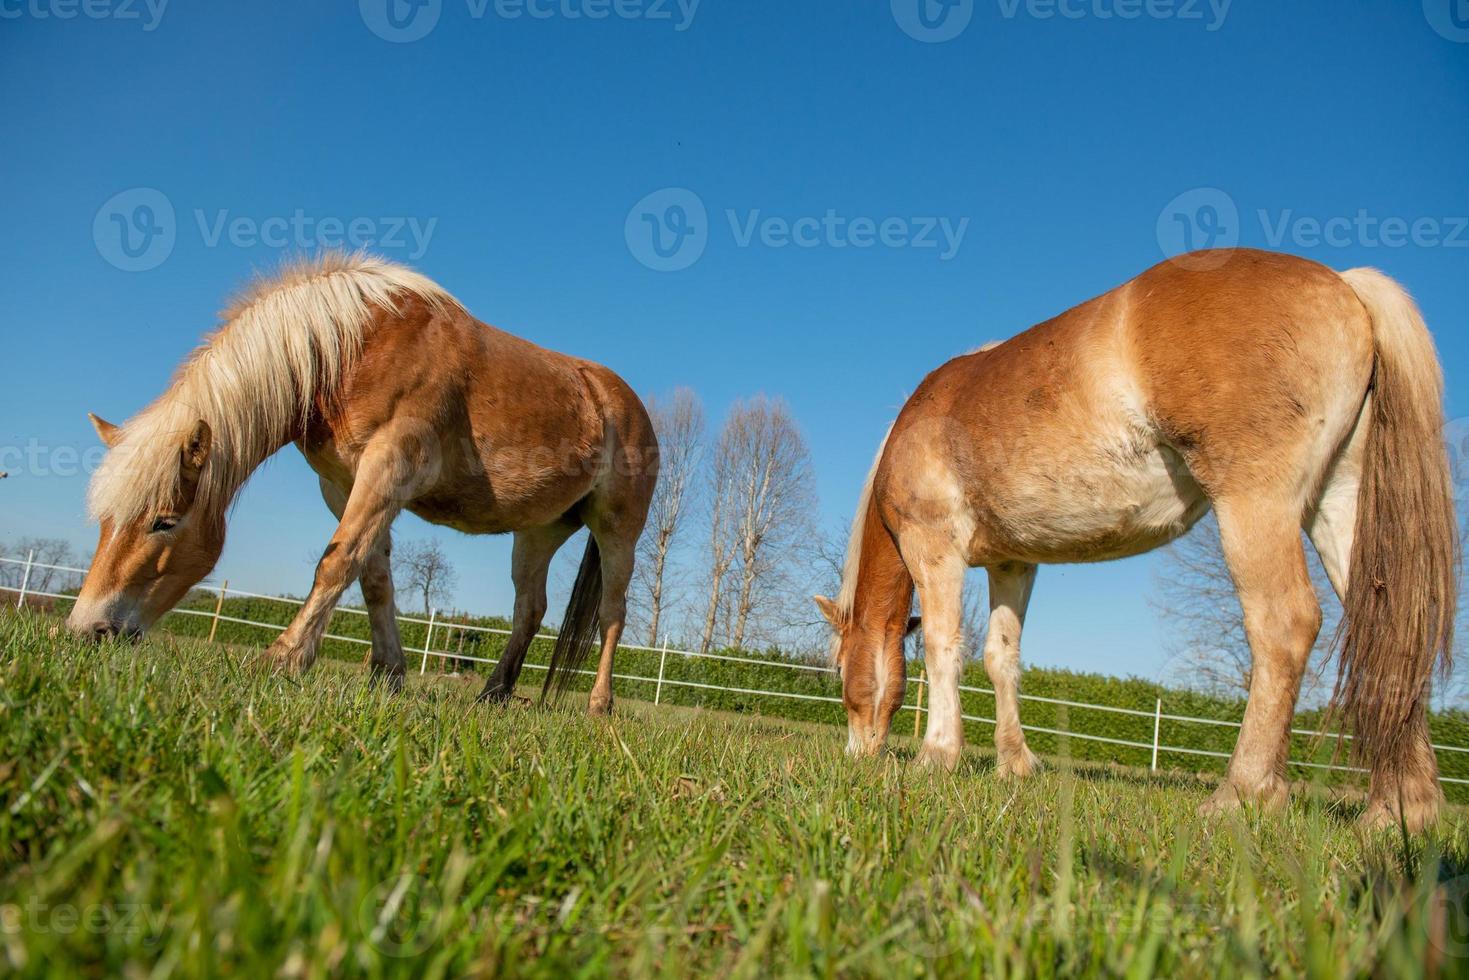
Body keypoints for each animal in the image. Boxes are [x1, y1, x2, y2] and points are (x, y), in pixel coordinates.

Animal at [71, 252, 658, 714]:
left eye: (163, 522)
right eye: (104, 522)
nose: (85, 631)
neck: (358, 347)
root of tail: (623, 400)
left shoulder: (387, 470)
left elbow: (337, 562)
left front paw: (285, 659)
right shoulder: (344, 485)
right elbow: (372, 576)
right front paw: (387, 672)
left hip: (616, 532)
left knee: (611, 613)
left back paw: (599, 705)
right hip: (537, 532)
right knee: (528, 610)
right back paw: (494, 693)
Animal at [816, 249, 1457, 834]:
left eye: (840, 668)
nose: (856, 755)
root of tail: (1346, 287)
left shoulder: (935, 549)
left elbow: (945, 647)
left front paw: (936, 756)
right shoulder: (1014, 564)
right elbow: (1002, 659)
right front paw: (1014, 763)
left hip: (1256, 503)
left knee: (1284, 624)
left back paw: (1243, 792)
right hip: (1340, 508)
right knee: (1393, 628)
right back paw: (1399, 809)